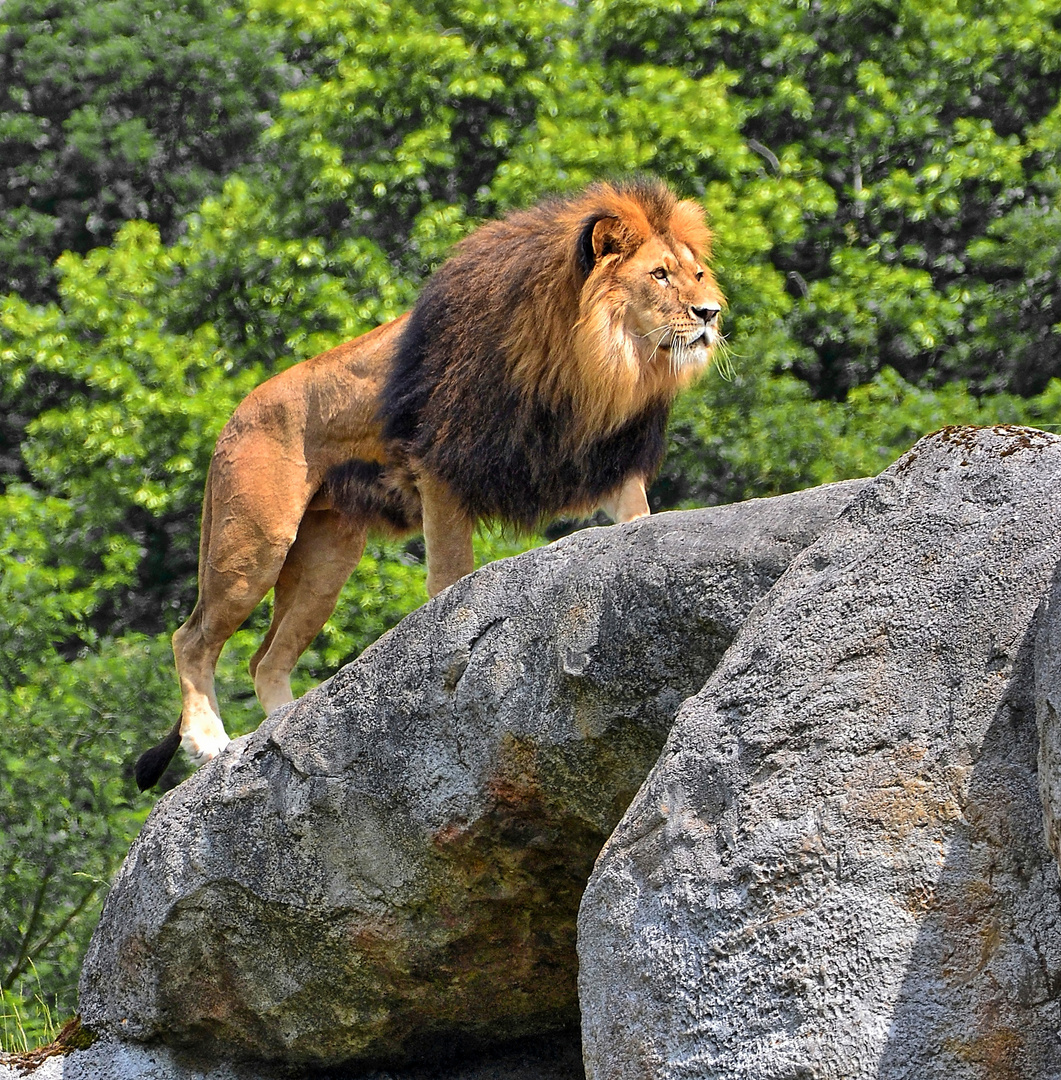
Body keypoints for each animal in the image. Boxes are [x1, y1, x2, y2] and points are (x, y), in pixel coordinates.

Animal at [135, 174, 721, 786]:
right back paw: (210, 742)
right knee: (191, 639)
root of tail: (231, 420)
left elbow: (637, 518)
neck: (596, 358)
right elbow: (450, 576)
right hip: (254, 541)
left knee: (264, 659)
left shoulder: (599, 459)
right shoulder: (442, 468)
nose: (708, 314)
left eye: (697, 273)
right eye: (658, 275)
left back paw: (282, 747)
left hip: (325, 562)